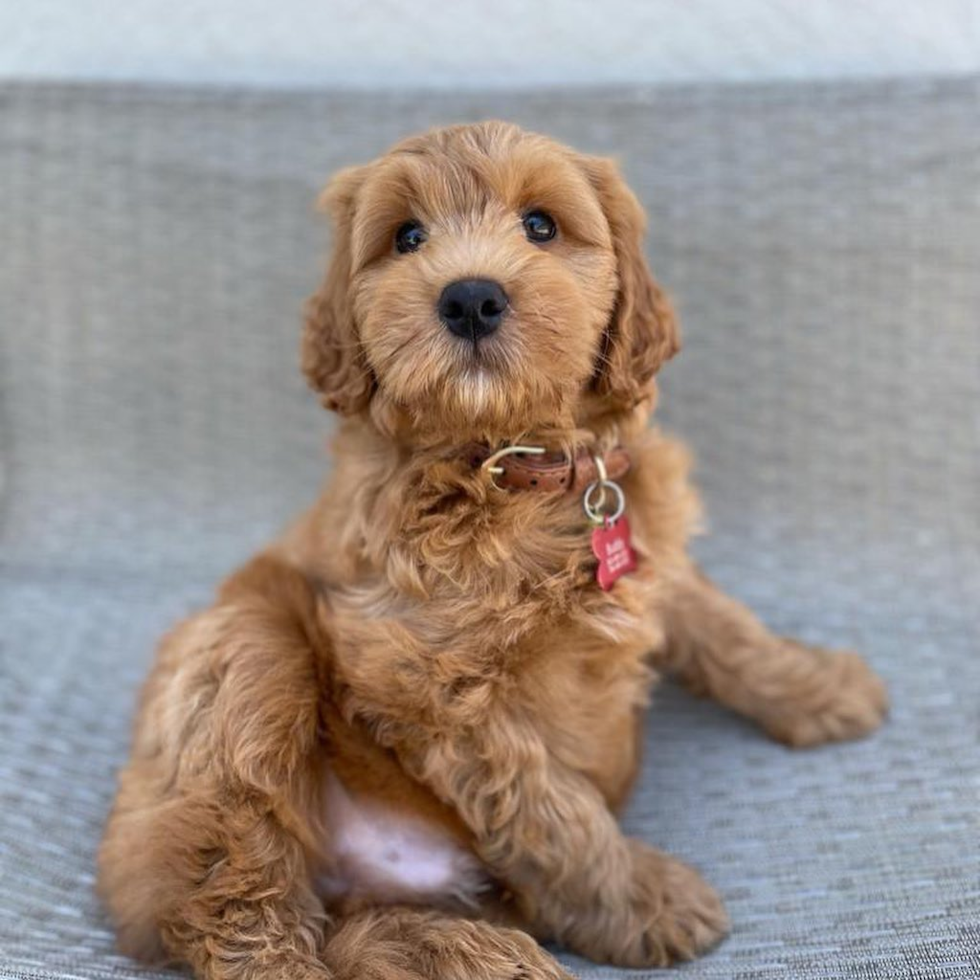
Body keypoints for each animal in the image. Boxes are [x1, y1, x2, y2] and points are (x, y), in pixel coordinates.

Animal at [99, 122, 888, 980]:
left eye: (541, 225)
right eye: (407, 238)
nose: (469, 297)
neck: (516, 467)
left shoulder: (653, 553)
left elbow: (728, 630)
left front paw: (820, 686)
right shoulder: (432, 685)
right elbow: (552, 808)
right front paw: (644, 899)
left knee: (357, 931)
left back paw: (474, 952)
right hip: (247, 657)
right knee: (238, 906)